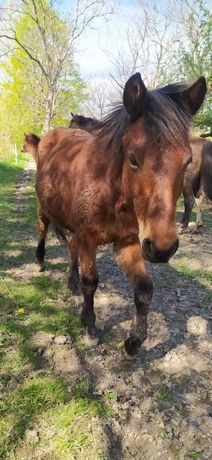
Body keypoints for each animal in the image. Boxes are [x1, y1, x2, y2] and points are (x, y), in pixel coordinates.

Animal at [35, 73, 206, 356]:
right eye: (133, 159)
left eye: (188, 161)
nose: (162, 249)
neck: (110, 193)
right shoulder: (88, 238)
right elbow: (91, 282)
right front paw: (89, 326)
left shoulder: (130, 241)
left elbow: (144, 289)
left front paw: (134, 340)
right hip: (43, 209)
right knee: (43, 230)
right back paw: (39, 260)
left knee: (70, 247)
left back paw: (71, 282)